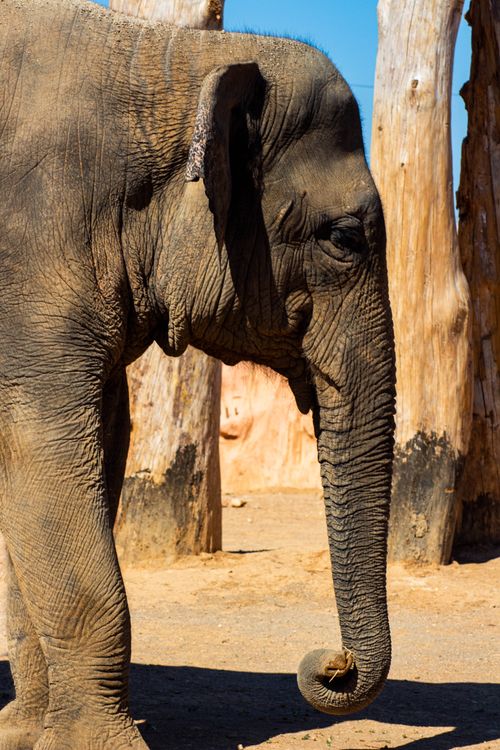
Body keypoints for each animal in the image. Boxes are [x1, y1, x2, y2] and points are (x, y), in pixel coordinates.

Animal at [0, 0, 396, 746]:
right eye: (344, 238)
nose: (332, 665)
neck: (171, 62)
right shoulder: (31, 250)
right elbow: (42, 446)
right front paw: (99, 744)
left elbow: (87, 446)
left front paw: (24, 732)